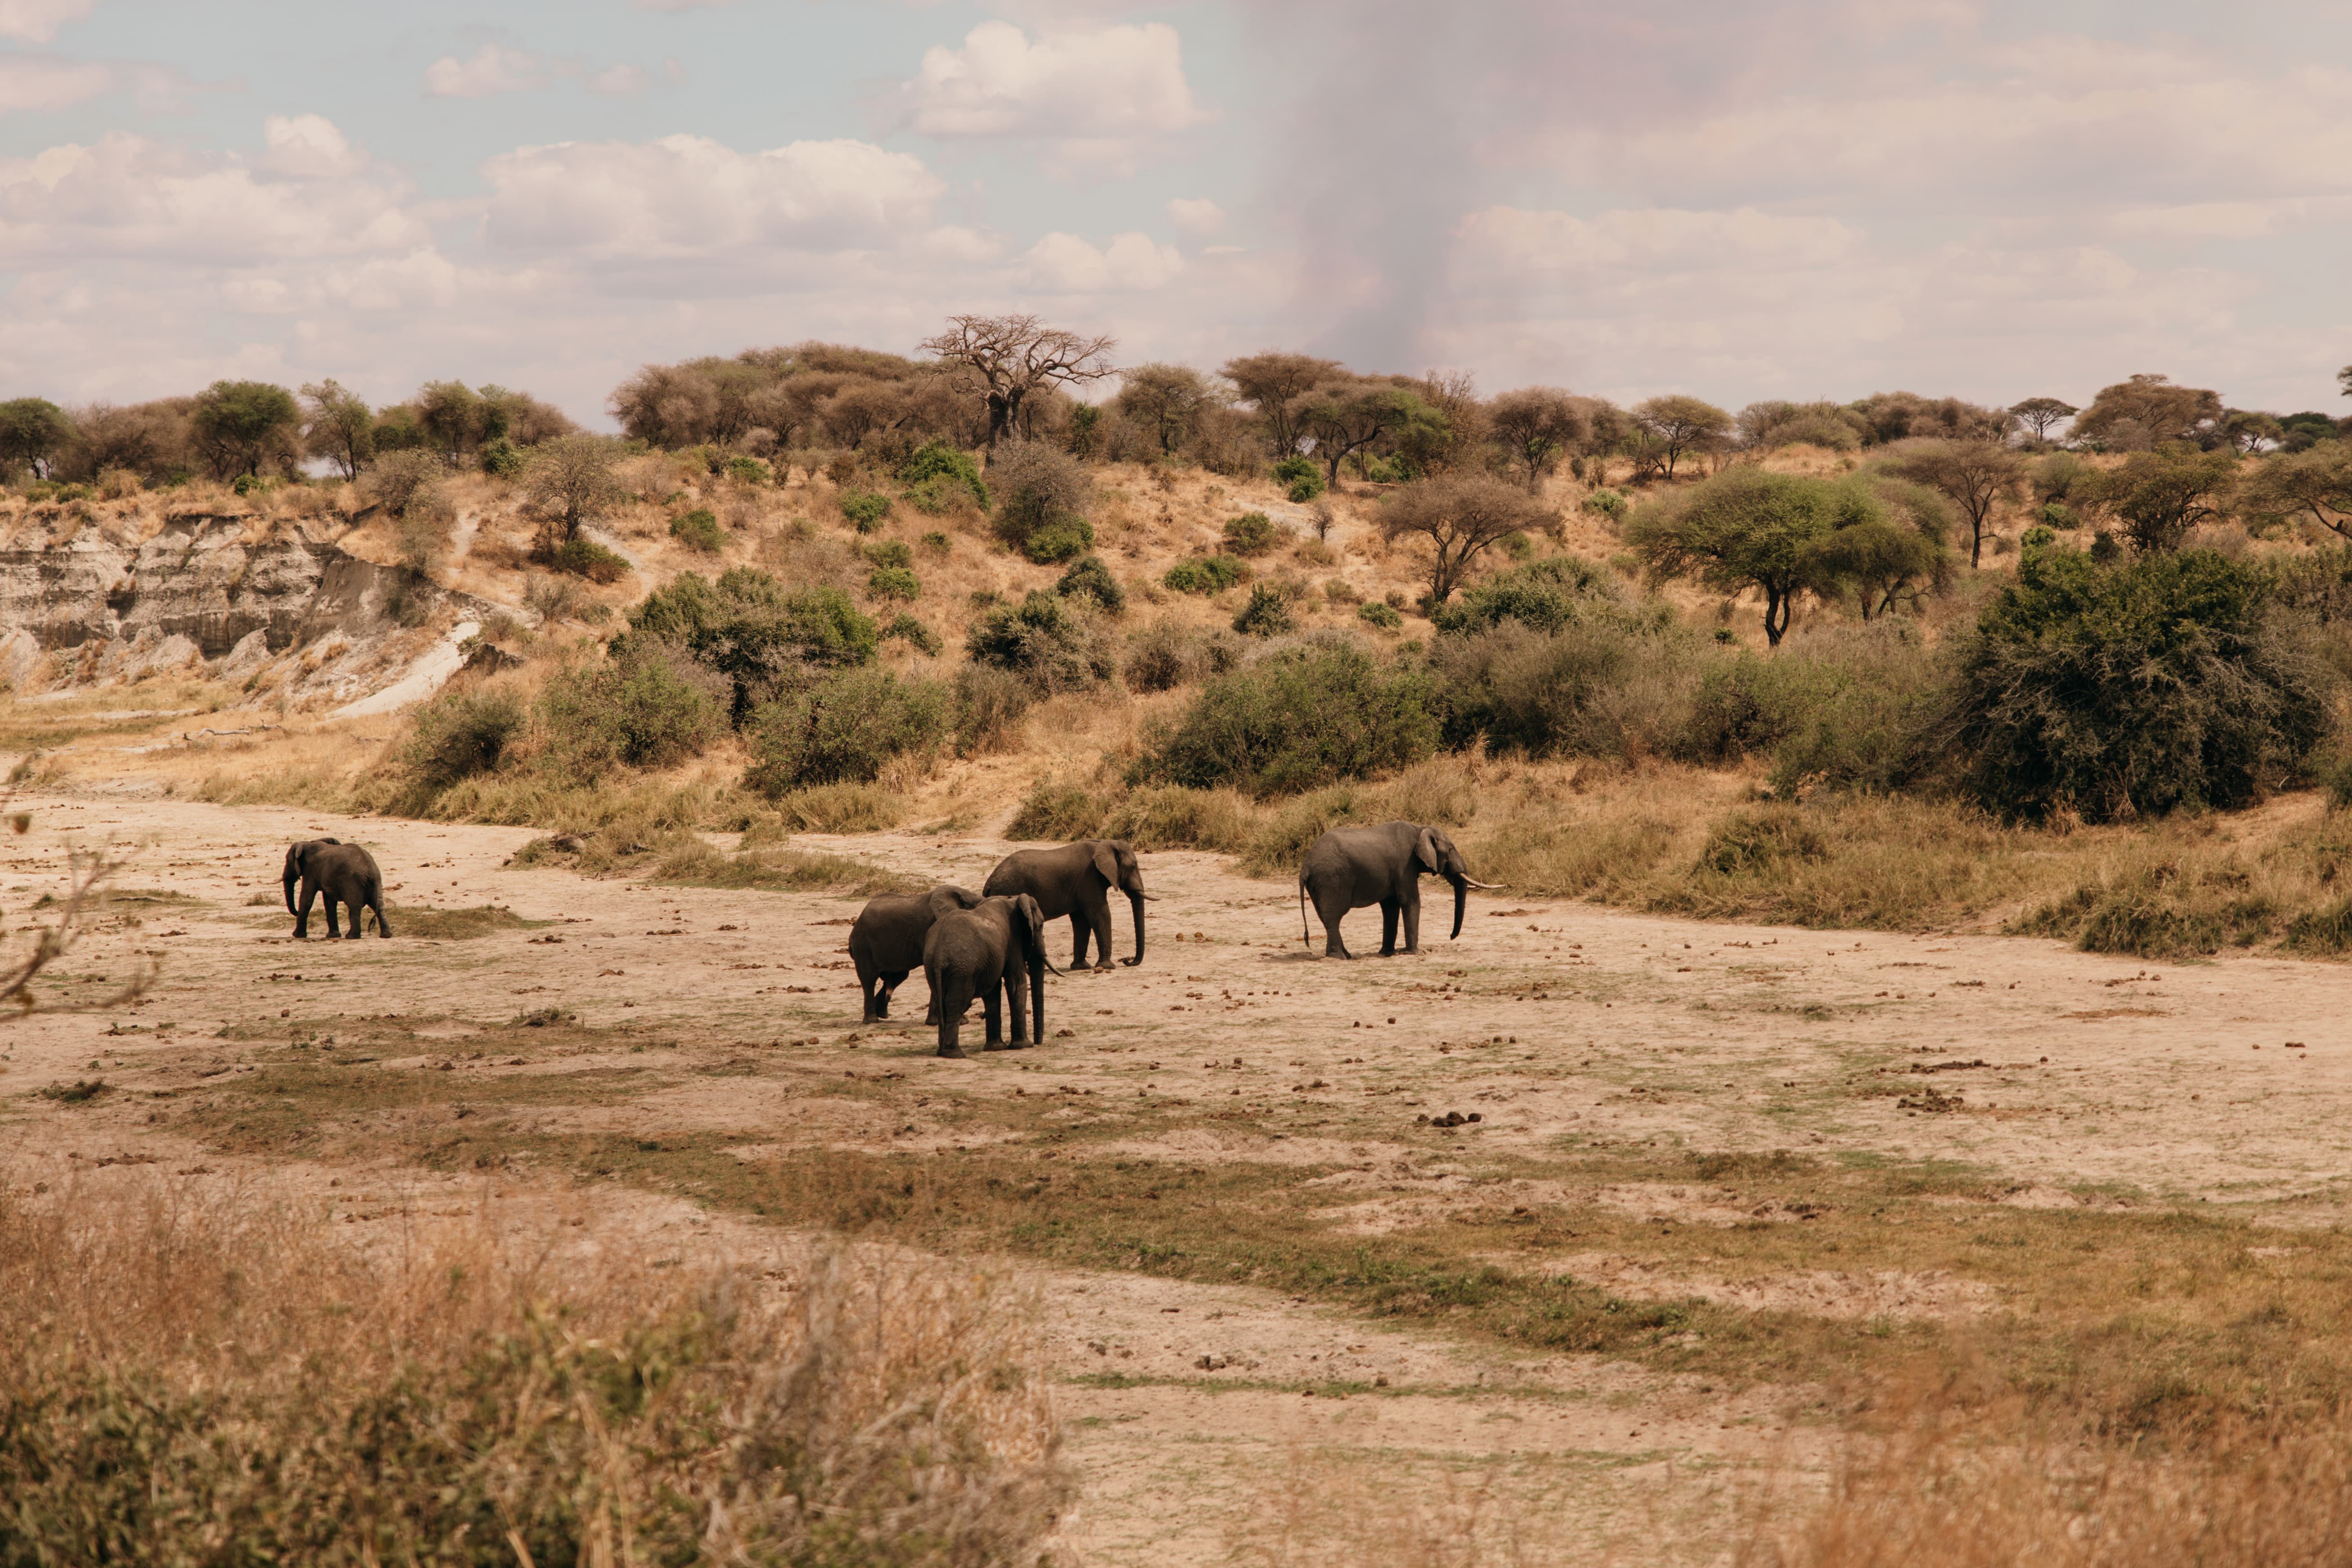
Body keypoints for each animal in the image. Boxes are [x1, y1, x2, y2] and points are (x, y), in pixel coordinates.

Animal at [282, 838, 391, 940]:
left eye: (287, 861)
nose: (296, 913)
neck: (306, 844)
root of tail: (370, 869)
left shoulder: (310, 871)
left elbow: (307, 899)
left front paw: (297, 936)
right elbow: (329, 902)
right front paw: (333, 936)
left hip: (352, 882)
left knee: (355, 906)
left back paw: (351, 936)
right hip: (375, 881)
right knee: (378, 905)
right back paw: (386, 935)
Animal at [848, 884, 984, 1024]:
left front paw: (935, 1022)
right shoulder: (929, 927)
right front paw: (955, 1022)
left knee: (898, 977)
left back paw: (882, 1014)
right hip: (863, 945)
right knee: (869, 979)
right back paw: (872, 1020)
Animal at [923, 893, 1056, 1059]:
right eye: (1041, 925)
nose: (1038, 1043)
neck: (1014, 900)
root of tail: (940, 954)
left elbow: (993, 992)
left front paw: (996, 1048)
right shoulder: (1013, 942)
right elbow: (1016, 984)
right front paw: (1024, 1046)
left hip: (933, 967)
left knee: (944, 1003)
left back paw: (941, 1052)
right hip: (962, 970)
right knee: (956, 1004)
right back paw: (955, 1054)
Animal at [983, 839, 1154, 971]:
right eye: (1133, 866)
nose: (1127, 960)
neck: (1105, 843)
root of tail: (989, 884)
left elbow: (1082, 921)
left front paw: (1081, 967)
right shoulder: (1089, 878)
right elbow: (1100, 914)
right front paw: (1108, 967)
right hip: (1009, 890)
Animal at [1298, 821, 1497, 959]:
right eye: (1450, 849)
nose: (1450, 937)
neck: (1420, 829)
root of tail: (1305, 866)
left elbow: (1391, 907)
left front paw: (1388, 953)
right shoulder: (1405, 865)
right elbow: (1411, 901)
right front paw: (1416, 953)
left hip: (1320, 884)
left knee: (1326, 918)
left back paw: (1347, 955)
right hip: (1332, 880)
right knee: (1334, 917)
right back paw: (1339, 958)